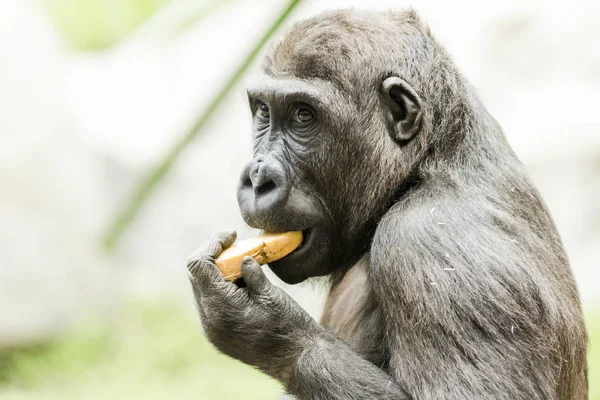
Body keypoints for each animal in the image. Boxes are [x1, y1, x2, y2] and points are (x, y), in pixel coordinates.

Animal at [186, 9, 584, 400]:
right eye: (264, 112)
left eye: (303, 115)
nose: (257, 179)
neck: (432, 157)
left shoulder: (428, 244)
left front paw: (267, 329)